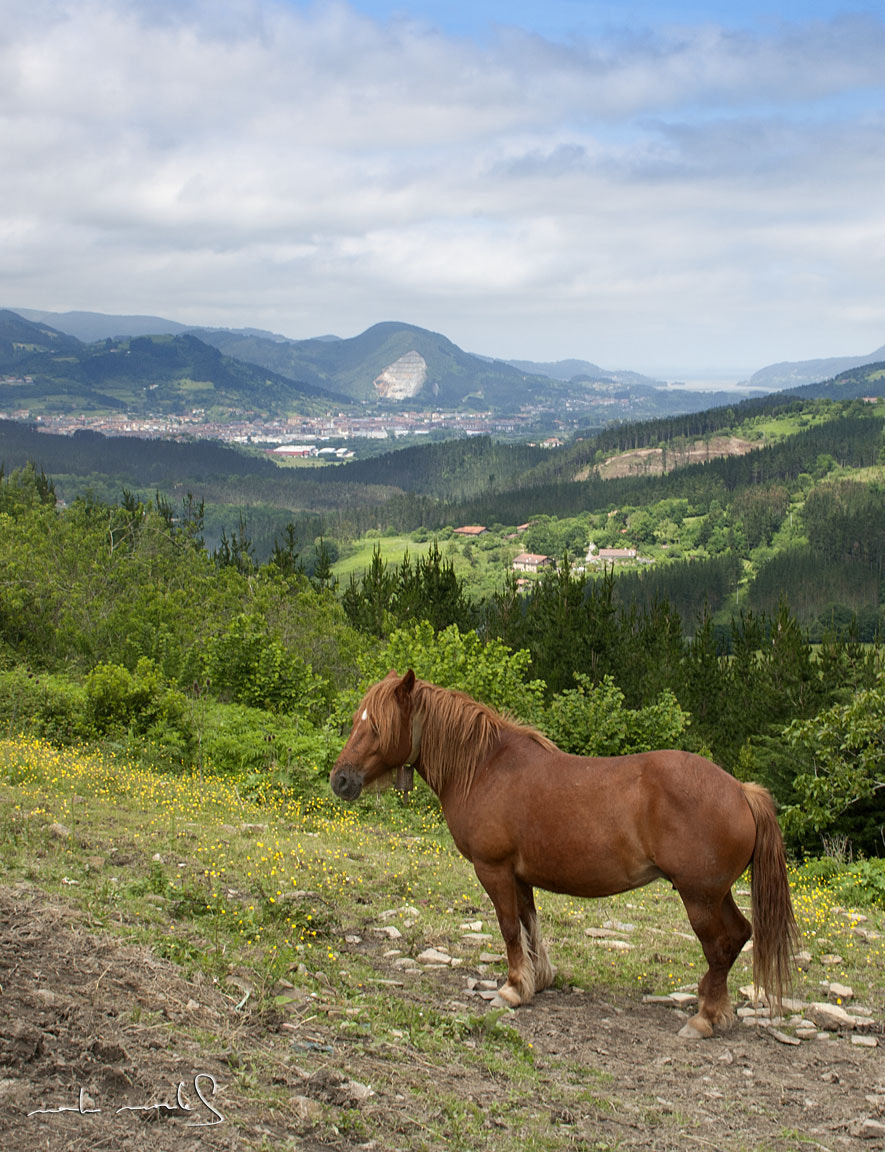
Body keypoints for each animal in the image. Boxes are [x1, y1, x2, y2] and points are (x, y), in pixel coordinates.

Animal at [327, 672, 797, 1041]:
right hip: (716, 894)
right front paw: (538, 981)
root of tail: (741, 791)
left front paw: (512, 988)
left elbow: (509, 928)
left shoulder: (494, 870)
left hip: (699, 897)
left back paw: (703, 1019)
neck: (484, 767)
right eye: (357, 722)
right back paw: (716, 1011)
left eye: (376, 727)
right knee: (739, 935)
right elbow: (529, 925)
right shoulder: (520, 875)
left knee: (719, 946)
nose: (341, 780)